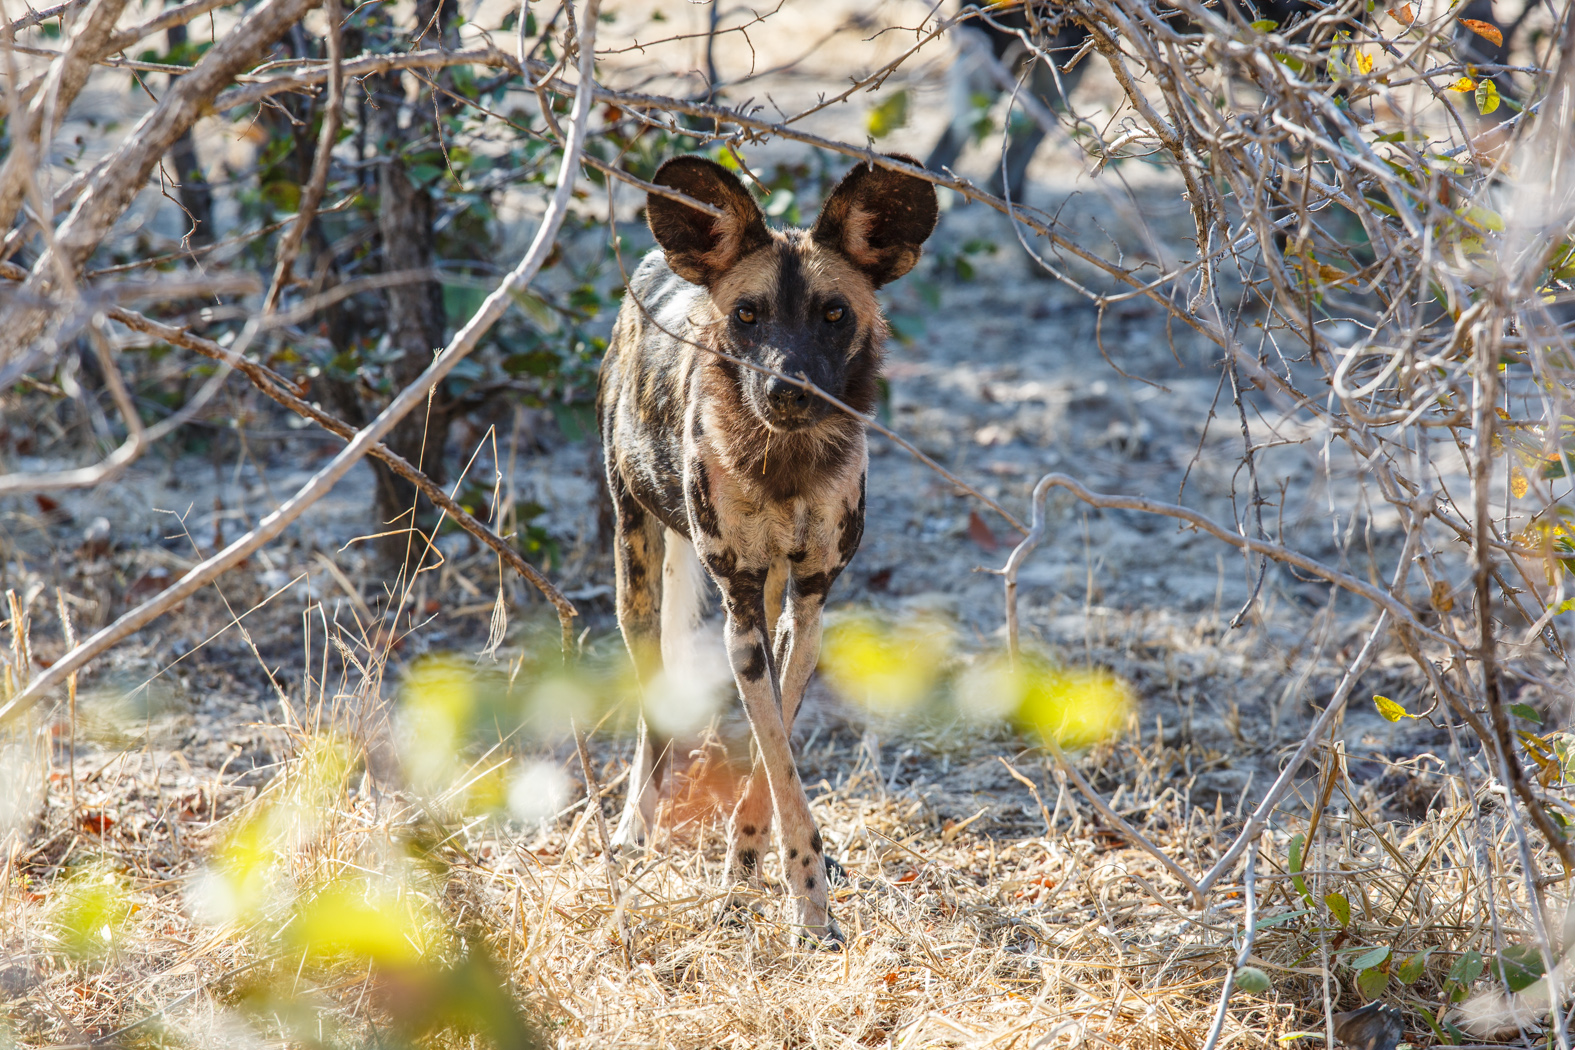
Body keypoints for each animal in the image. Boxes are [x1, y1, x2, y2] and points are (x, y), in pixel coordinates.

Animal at [592, 154, 932, 944]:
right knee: (650, 711)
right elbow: (777, 762)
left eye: (833, 314)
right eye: (747, 314)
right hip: (635, 573)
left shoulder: (800, 610)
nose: (787, 391)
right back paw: (633, 831)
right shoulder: (740, 605)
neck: (785, 464)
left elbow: (770, 761)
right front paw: (803, 904)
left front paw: (756, 876)